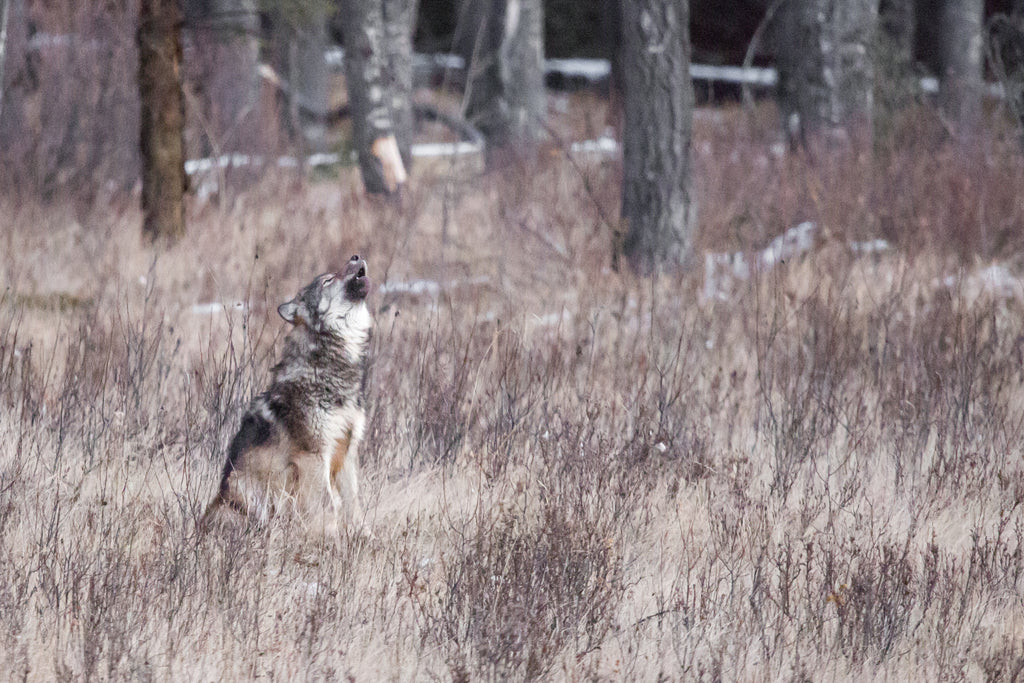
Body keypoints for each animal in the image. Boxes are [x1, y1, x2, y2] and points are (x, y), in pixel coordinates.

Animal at [202, 255, 373, 533]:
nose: (356, 256)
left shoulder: (347, 452)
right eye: (328, 280)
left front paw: (364, 537)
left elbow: (354, 505)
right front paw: (331, 539)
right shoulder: (312, 456)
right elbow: (327, 505)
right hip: (244, 486)